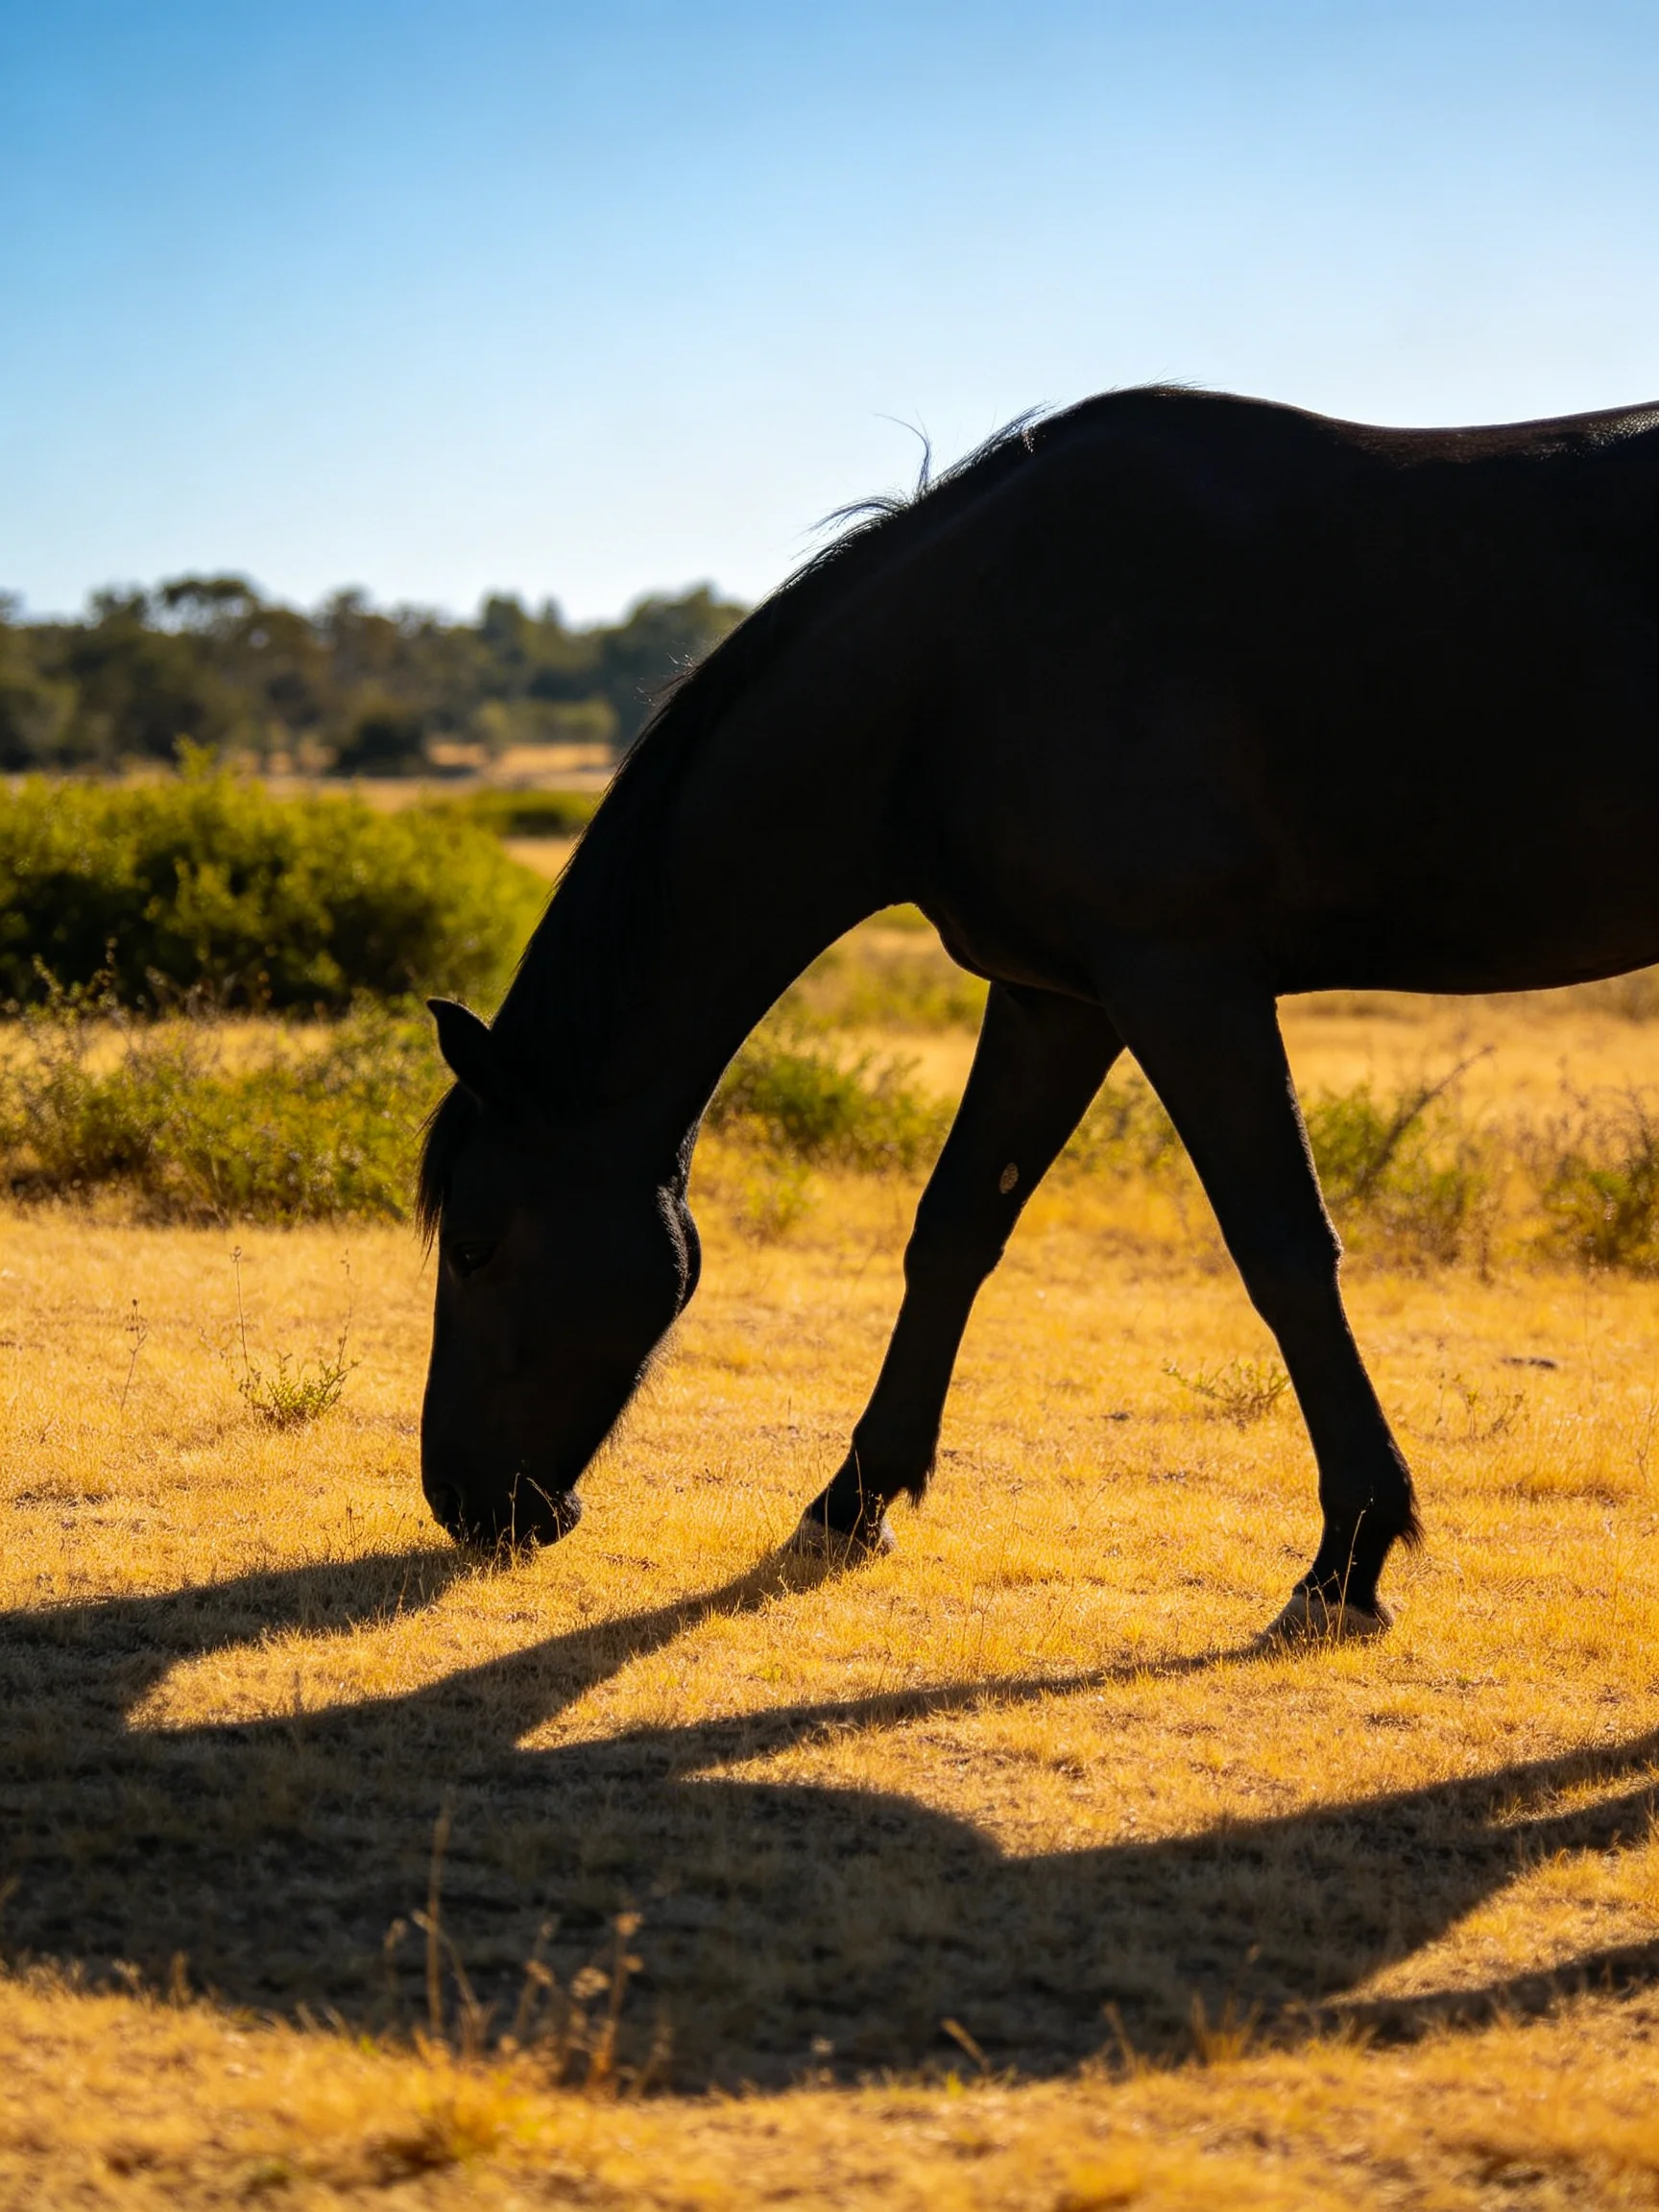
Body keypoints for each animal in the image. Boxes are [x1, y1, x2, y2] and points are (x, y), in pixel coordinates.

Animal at [417, 384, 1659, 1640]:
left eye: (473, 1246)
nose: (462, 1502)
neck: (961, 677)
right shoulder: (1055, 1001)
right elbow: (954, 1229)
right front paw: (852, 1501)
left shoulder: (1186, 983)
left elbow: (1284, 1253)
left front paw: (1349, 1559)